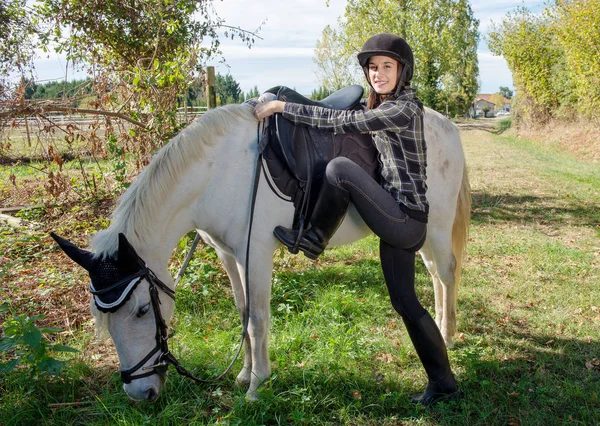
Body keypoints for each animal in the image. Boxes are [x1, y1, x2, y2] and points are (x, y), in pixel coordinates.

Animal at [54, 101, 472, 402]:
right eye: (102, 319)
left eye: (143, 310)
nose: (140, 394)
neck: (217, 173)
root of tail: (447, 125)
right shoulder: (228, 255)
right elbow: (242, 314)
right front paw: (242, 375)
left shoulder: (254, 253)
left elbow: (256, 319)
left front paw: (257, 385)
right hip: (416, 237)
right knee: (435, 276)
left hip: (435, 228)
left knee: (448, 273)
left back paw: (447, 335)